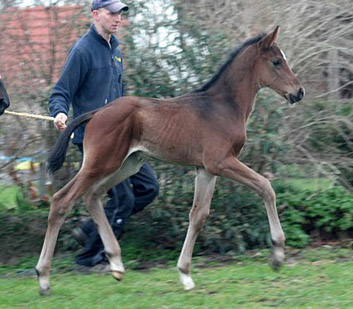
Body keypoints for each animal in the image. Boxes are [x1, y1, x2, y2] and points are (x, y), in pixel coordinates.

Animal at [37, 27, 304, 294]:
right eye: (276, 62)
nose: (299, 92)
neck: (224, 106)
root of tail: (97, 112)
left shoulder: (205, 170)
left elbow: (198, 215)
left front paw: (185, 273)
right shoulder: (220, 162)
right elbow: (265, 187)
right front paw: (277, 255)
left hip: (127, 165)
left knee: (92, 196)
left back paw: (116, 264)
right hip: (99, 163)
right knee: (61, 200)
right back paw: (43, 278)